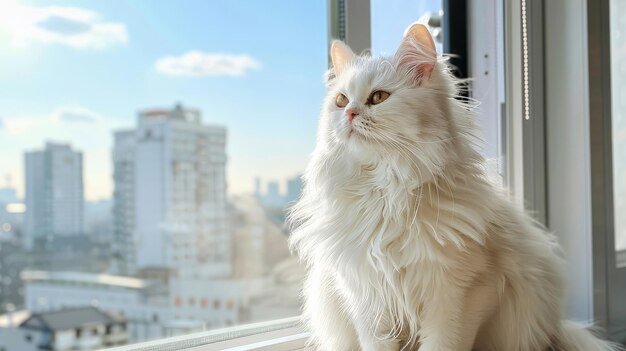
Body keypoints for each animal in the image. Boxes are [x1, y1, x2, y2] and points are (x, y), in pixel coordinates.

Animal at [286, 24, 616, 351]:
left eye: (378, 97)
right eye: (341, 101)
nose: (349, 114)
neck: (385, 191)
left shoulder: (460, 295)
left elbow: (443, 343)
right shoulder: (367, 300)